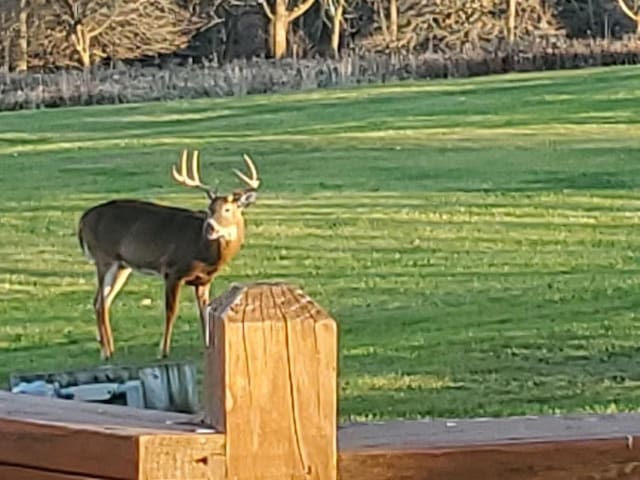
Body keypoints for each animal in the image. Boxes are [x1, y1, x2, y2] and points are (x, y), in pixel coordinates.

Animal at [77, 150, 260, 360]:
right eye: (209, 209)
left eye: (227, 209)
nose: (210, 227)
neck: (204, 252)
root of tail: (83, 219)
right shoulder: (172, 270)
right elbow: (171, 311)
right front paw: (163, 351)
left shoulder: (204, 280)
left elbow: (205, 312)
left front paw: (207, 346)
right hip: (104, 257)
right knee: (99, 302)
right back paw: (106, 352)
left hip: (122, 265)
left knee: (103, 301)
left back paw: (110, 349)